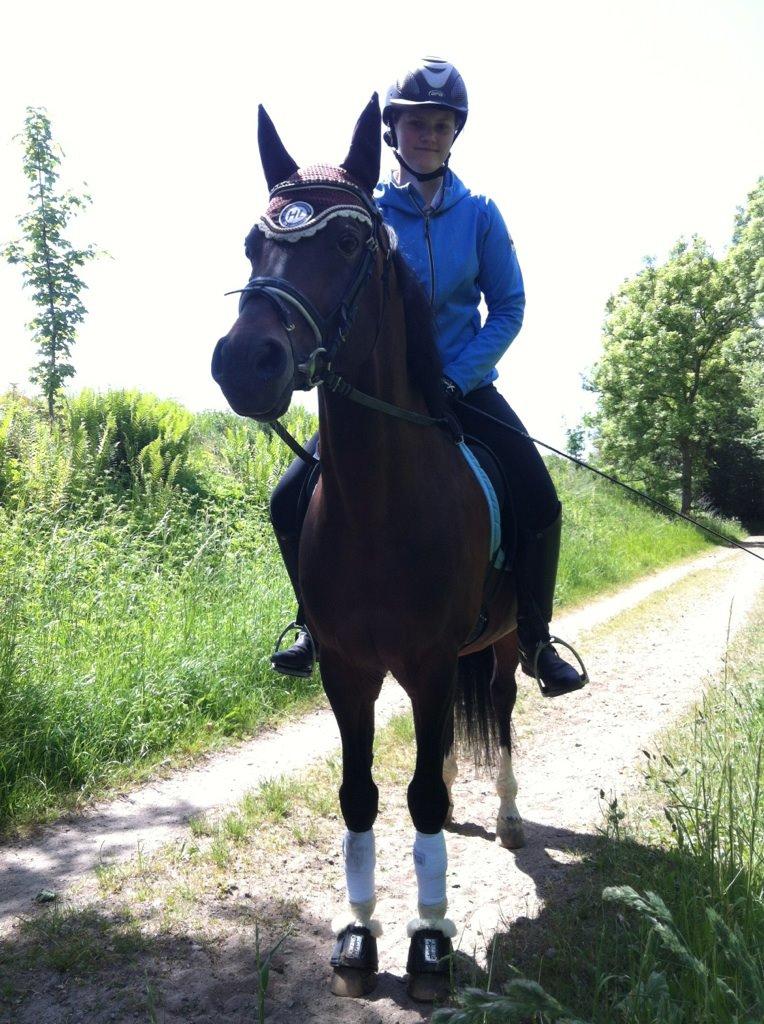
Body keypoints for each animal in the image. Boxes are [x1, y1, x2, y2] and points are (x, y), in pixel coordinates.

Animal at [211, 93, 525, 1001]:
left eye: (348, 244)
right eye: (253, 244)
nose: (244, 362)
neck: (382, 506)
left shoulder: (427, 664)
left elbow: (418, 800)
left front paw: (432, 942)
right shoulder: (348, 670)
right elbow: (360, 795)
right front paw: (359, 934)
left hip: (505, 644)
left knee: (504, 710)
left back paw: (507, 812)